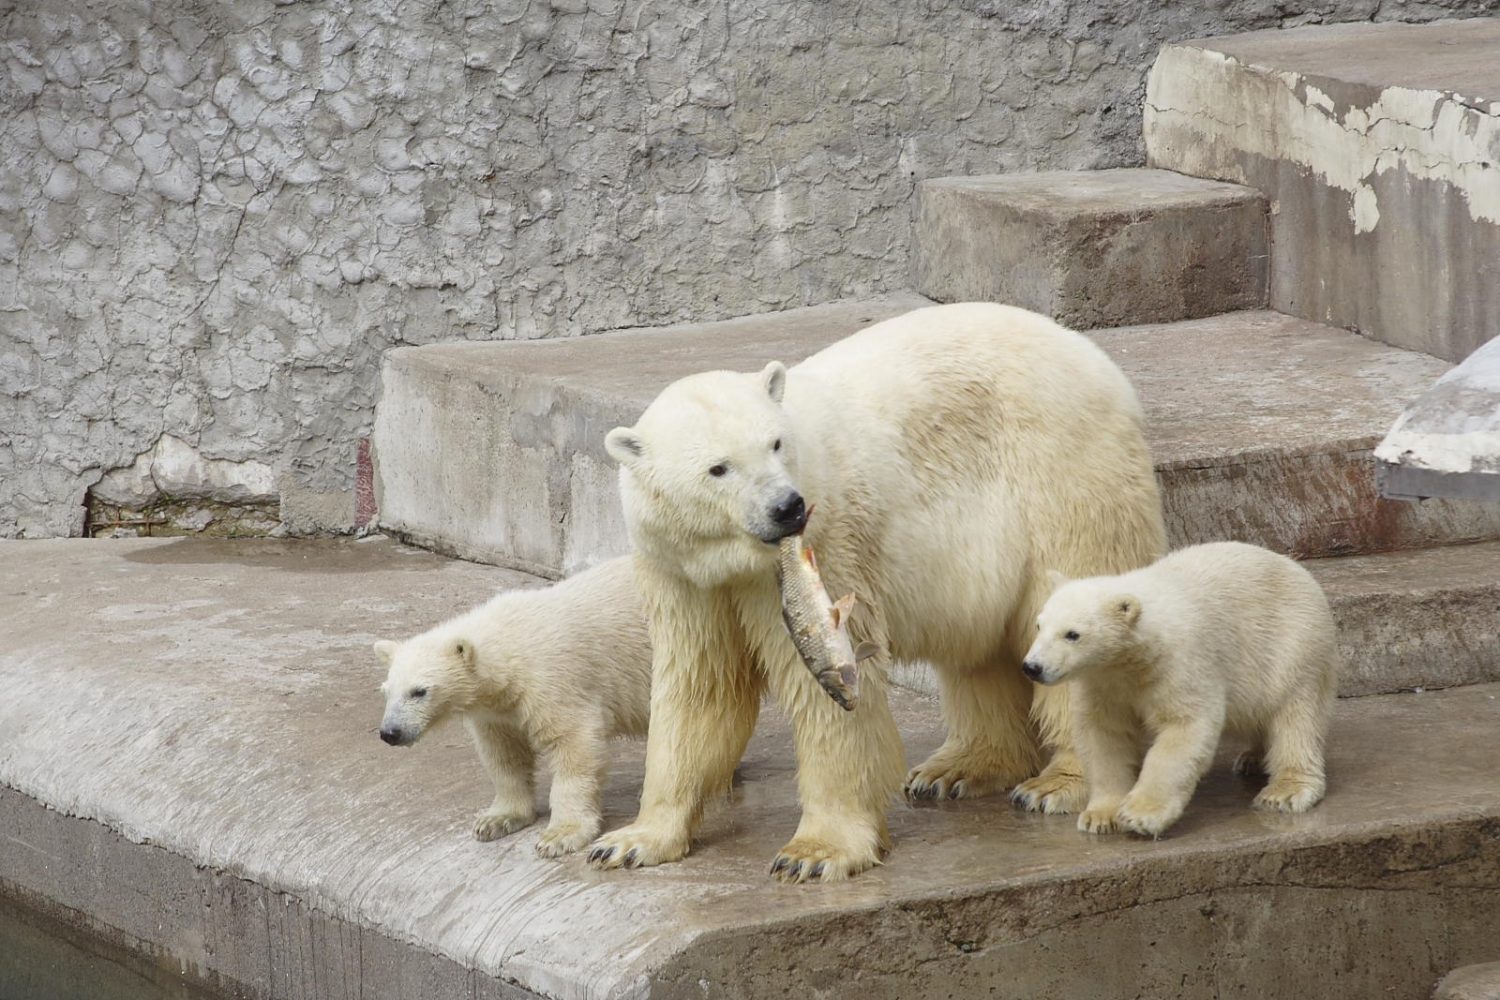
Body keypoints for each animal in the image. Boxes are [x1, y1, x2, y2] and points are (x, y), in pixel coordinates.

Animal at [591, 301, 1164, 881]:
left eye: (775, 443)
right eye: (717, 468)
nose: (787, 507)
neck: (736, 559)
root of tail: (1091, 355)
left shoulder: (829, 547)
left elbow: (827, 694)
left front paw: (815, 852)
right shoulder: (680, 574)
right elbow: (700, 685)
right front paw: (630, 841)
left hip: (1062, 477)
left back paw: (1059, 783)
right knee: (977, 650)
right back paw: (956, 769)